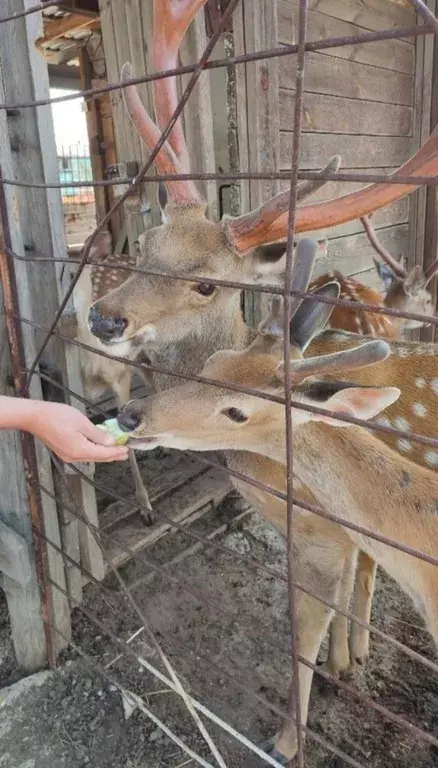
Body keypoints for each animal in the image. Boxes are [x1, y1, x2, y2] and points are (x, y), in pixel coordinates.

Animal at [82, 0, 438, 692]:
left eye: (206, 283)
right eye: (145, 247)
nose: (103, 319)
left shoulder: (328, 531)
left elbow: (316, 621)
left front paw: (340, 665)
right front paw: (349, 660)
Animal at [116, 248, 438, 768]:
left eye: (237, 412)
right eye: (215, 363)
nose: (131, 415)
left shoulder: (318, 531)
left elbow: (305, 630)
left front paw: (284, 741)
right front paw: (343, 664)